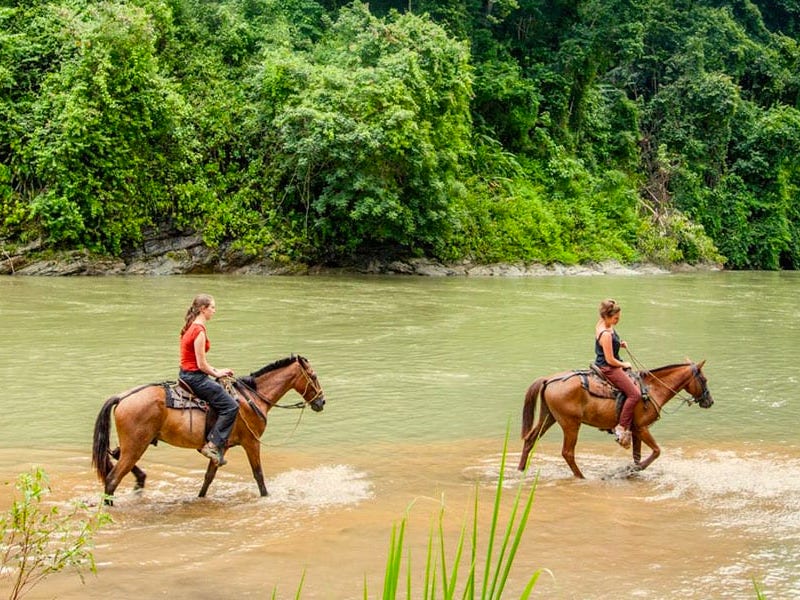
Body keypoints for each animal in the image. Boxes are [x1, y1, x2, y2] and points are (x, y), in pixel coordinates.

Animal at [94, 354, 328, 504]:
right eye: (314, 376)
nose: (322, 401)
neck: (252, 398)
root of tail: (123, 397)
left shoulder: (220, 448)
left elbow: (208, 477)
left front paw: (199, 499)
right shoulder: (251, 442)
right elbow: (259, 475)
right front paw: (266, 498)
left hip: (135, 444)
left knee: (115, 455)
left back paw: (140, 481)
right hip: (136, 445)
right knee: (112, 479)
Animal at [520, 360, 712, 478]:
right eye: (704, 379)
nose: (710, 401)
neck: (652, 389)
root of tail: (549, 379)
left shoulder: (635, 430)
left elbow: (637, 455)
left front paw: (633, 470)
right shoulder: (642, 428)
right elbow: (656, 451)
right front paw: (632, 469)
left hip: (548, 417)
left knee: (530, 440)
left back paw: (521, 470)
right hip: (570, 424)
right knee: (567, 453)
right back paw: (582, 477)